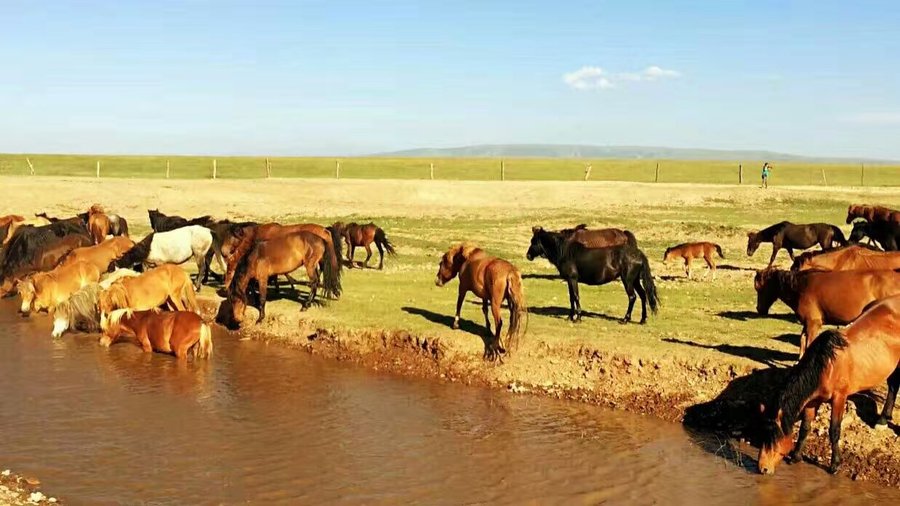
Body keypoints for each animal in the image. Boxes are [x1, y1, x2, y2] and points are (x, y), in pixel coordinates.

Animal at [524, 226, 656, 322]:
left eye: (533, 242)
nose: (528, 256)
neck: (565, 252)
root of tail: (638, 254)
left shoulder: (573, 279)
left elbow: (576, 296)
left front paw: (578, 317)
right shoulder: (569, 280)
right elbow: (571, 298)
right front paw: (570, 317)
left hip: (627, 280)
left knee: (632, 297)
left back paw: (625, 319)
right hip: (635, 280)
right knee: (643, 295)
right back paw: (643, 319)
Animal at [756, 266, 900, 358]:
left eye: (760, 288)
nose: (759, 309)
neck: (800, 288)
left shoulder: (814, 324)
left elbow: (808, 343)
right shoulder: (808, 324)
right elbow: (802, 341)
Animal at [756, 294, 900, 476]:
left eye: (774, 439)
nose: (763, 468)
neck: (826, 365)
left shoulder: (839, 398)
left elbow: (834, 430)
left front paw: (834, 465)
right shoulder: (812, 401)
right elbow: (805, 427)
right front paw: (796, 456)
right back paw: (883, 419)